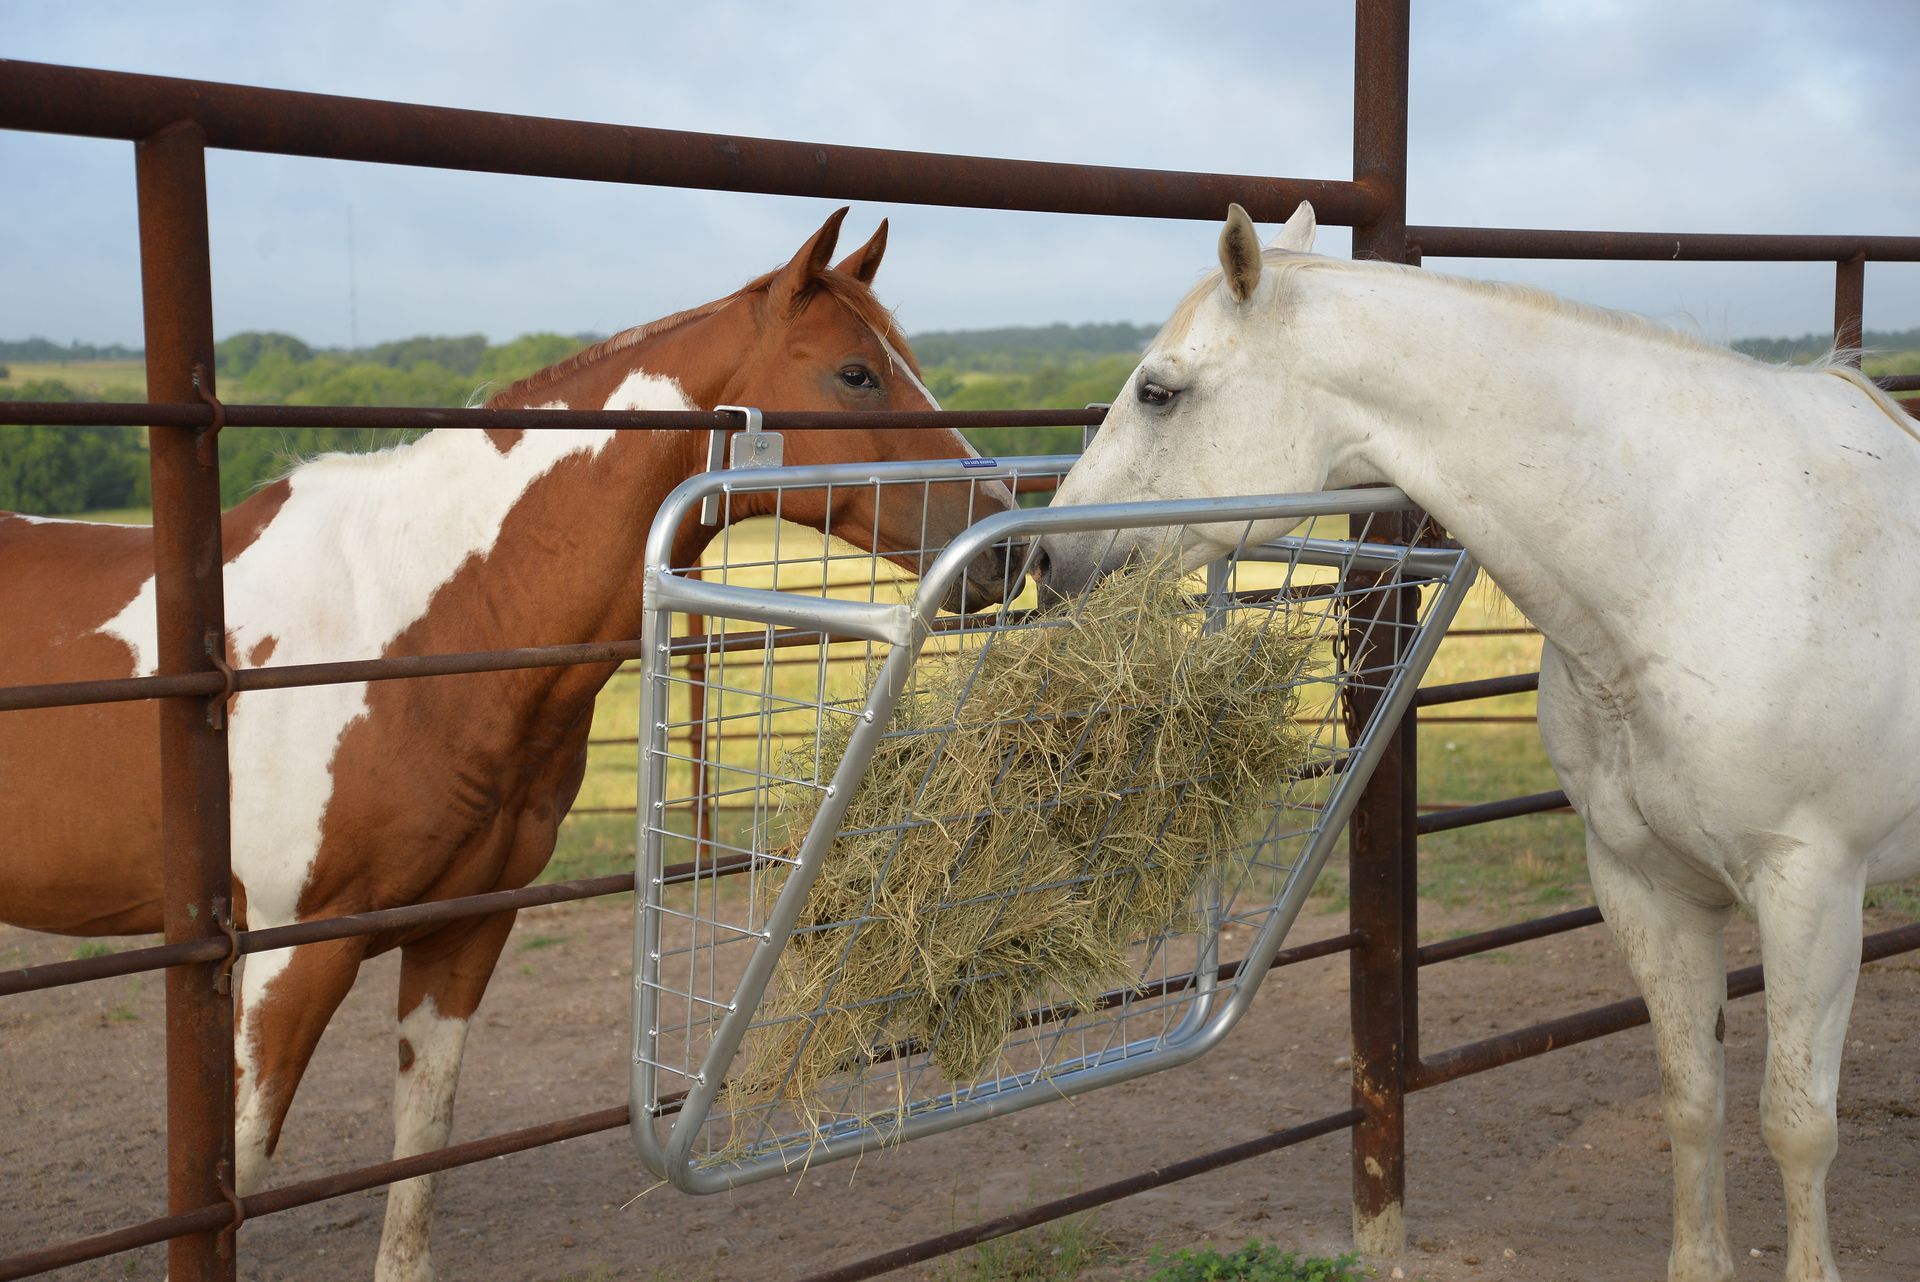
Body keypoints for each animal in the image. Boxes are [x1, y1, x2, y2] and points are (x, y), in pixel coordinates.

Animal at [0, 207, 1019, 1281]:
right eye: (855, 374)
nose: (1007, 544)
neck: (421, 627)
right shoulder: (286, 954)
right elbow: (241, 1164)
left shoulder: (465, 932)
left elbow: (421, 1152)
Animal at [1033, 202, 1920, 1282]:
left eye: (1158, 391)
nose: (1047, 560)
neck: (1702, 557)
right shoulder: (1646, 883)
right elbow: (1693, 1098)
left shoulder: (1812, 892)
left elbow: (1796, 1123)